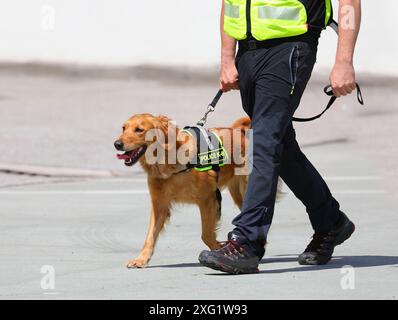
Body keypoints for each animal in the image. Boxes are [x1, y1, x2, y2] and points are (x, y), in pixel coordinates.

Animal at [113, 114, 278, 268]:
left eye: (139, 130)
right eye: (123, 128)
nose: (117, 144)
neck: (170, 163)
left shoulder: (208, 199)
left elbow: (206, 234)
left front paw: (219, 250)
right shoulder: (159, 205)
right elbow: (150, 237)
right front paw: (141, 259)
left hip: (246, 188)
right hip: (238, 195)